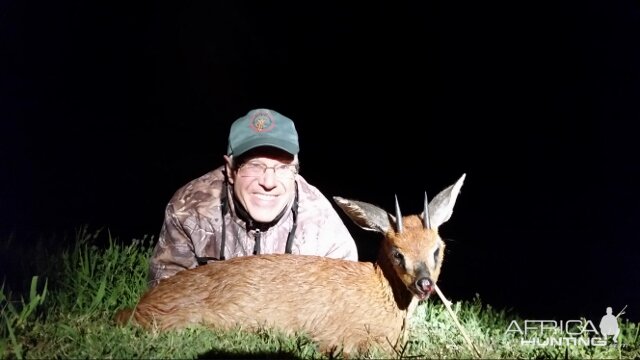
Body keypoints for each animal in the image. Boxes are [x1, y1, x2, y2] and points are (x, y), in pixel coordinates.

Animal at [114, 173, 464, 356]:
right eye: (397, 253)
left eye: (437, 249)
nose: (424, 284)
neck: (385, 295)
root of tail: (138, 307)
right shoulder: (345, 338)